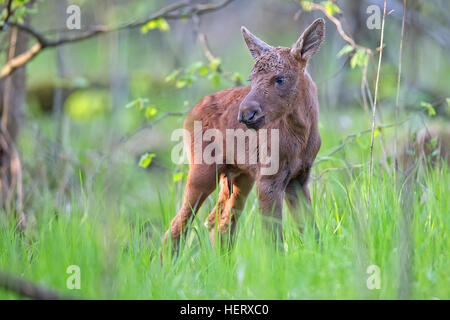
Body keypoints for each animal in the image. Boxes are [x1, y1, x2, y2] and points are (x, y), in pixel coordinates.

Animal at [163, 18, 326, 251]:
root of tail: (188, 114)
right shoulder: (269, 178)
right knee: (177, 226)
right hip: (203, 170)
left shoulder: (299, 178)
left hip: (239, 176)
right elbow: (274, 241)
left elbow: (313, 234)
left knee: (219, 224)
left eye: (280, 79)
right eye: (251, 78)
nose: (246, 114)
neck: (302, 135)